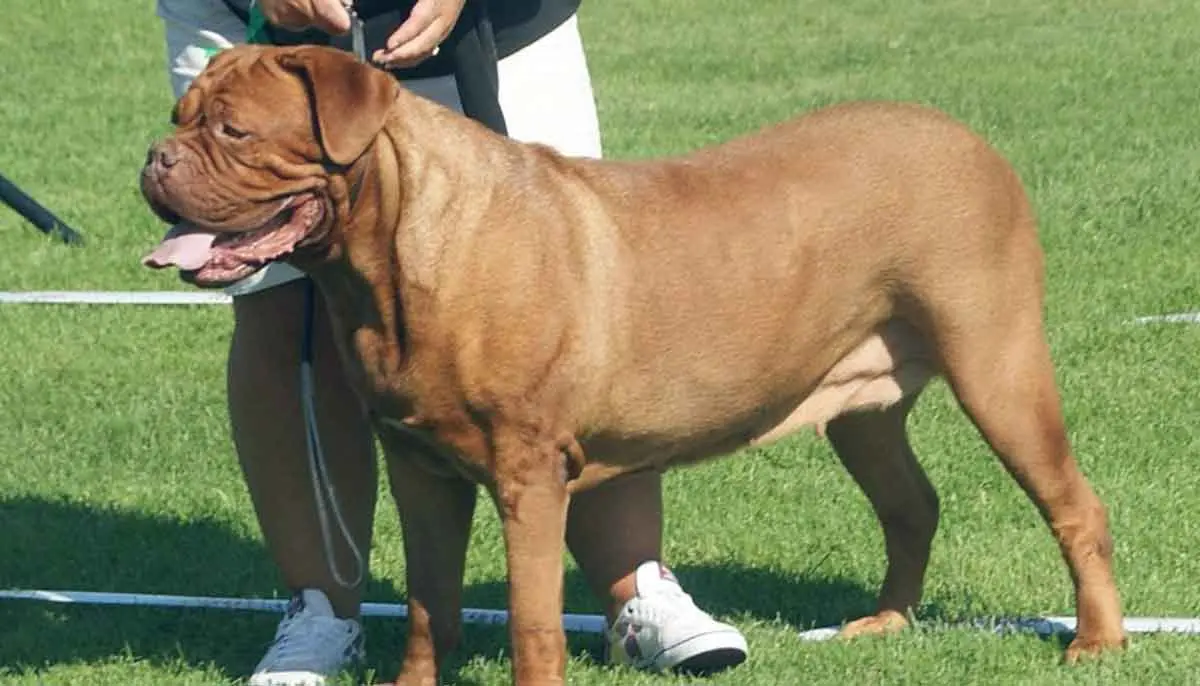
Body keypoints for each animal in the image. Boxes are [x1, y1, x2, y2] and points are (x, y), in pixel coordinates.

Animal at [140, 45, 1123, 681]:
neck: (392, 256)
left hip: (997, 364)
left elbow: (534, 625)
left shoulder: (529, 474)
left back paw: (1097, 640)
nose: (153, 158)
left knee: (1075, 506)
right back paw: (883, 623)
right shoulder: (419, 466)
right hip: (862, 405)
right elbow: (428, 611)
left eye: (233, 130)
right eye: (180, 117)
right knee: (911, 504)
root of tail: (969, 138)